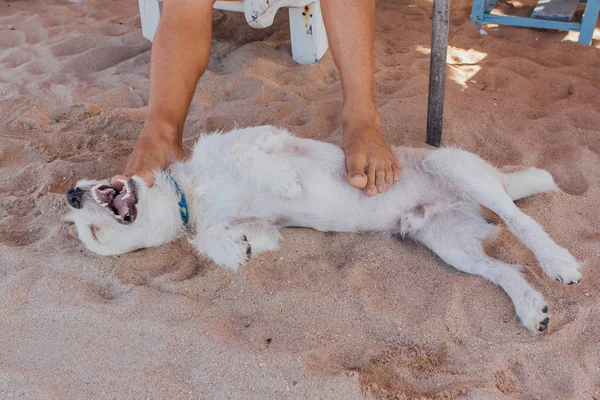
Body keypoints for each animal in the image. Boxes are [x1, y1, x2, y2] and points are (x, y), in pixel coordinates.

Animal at [64, 126, 580, 332]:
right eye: (92, 236)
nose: (70, 194)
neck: (190, 193)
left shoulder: (260, 138)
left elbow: (251, 155)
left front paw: (286, 182)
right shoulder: (246, 224)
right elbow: (231, 237)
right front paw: (234, 251)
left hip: (455, 167)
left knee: (523, 220)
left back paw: (558, 261)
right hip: (452, 244)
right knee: (506, 270)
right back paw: (531, 308)